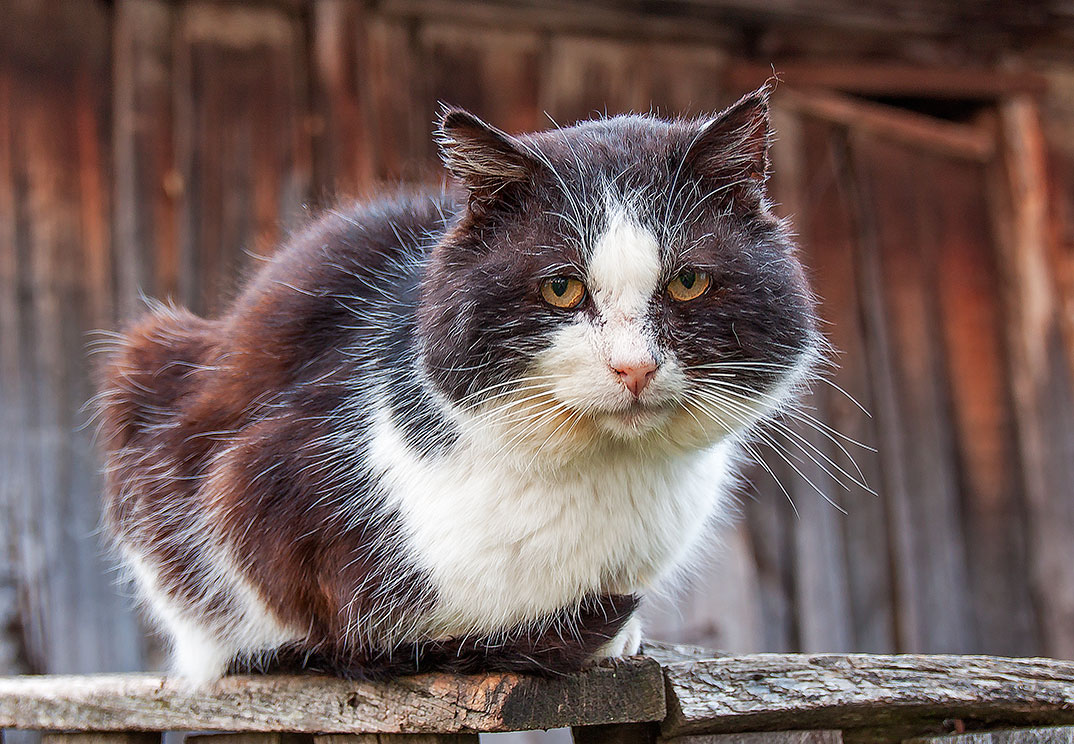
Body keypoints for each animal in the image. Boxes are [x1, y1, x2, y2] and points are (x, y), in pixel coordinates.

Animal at [100, 82, 816, 682]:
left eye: (688, 281)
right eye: (562, 288)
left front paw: (618, 636)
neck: (606, 477)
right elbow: (375, 631)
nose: (633, 366)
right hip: (148, 358)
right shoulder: (257, 484)